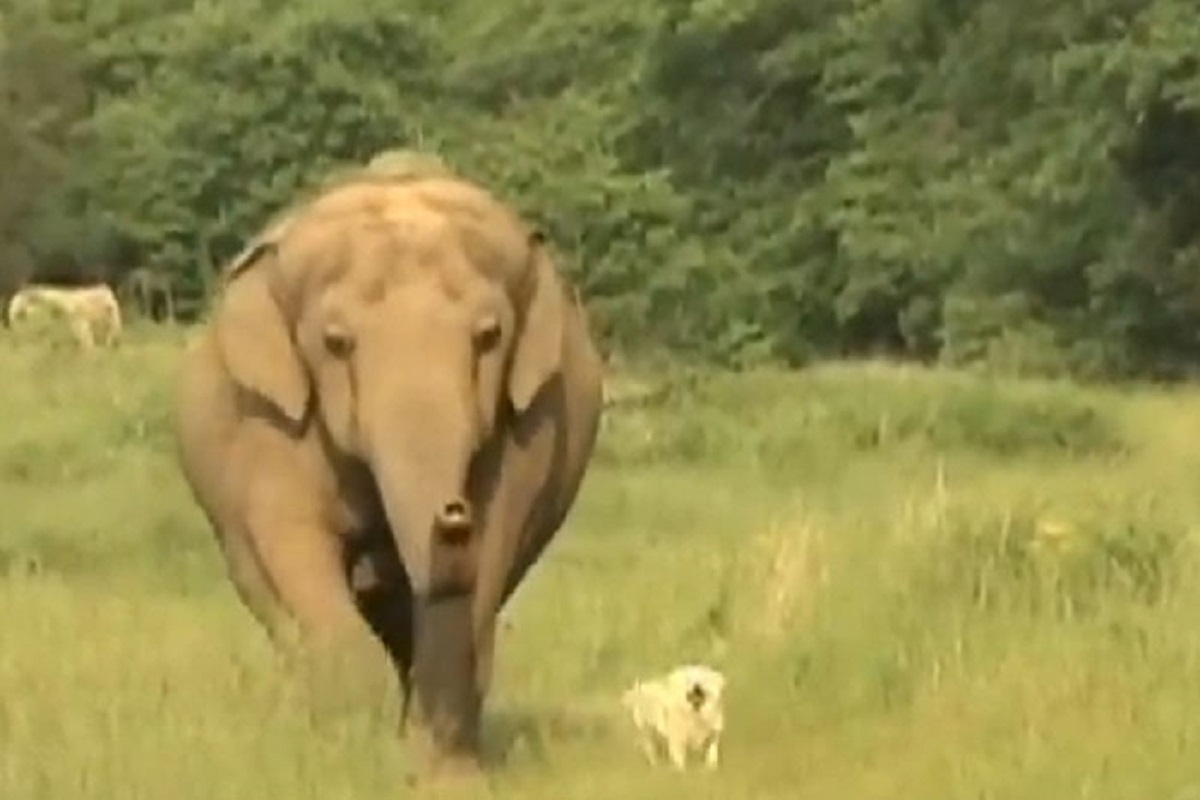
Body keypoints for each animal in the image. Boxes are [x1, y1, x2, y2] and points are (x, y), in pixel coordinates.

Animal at [174, 164, 604, 777]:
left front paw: (441, 772)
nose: (452, 511)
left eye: (489, 336)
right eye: (336, 343)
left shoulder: (533, 422)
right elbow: (294, 539)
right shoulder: (269, 421)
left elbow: (489, 554)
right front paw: (348, 752)